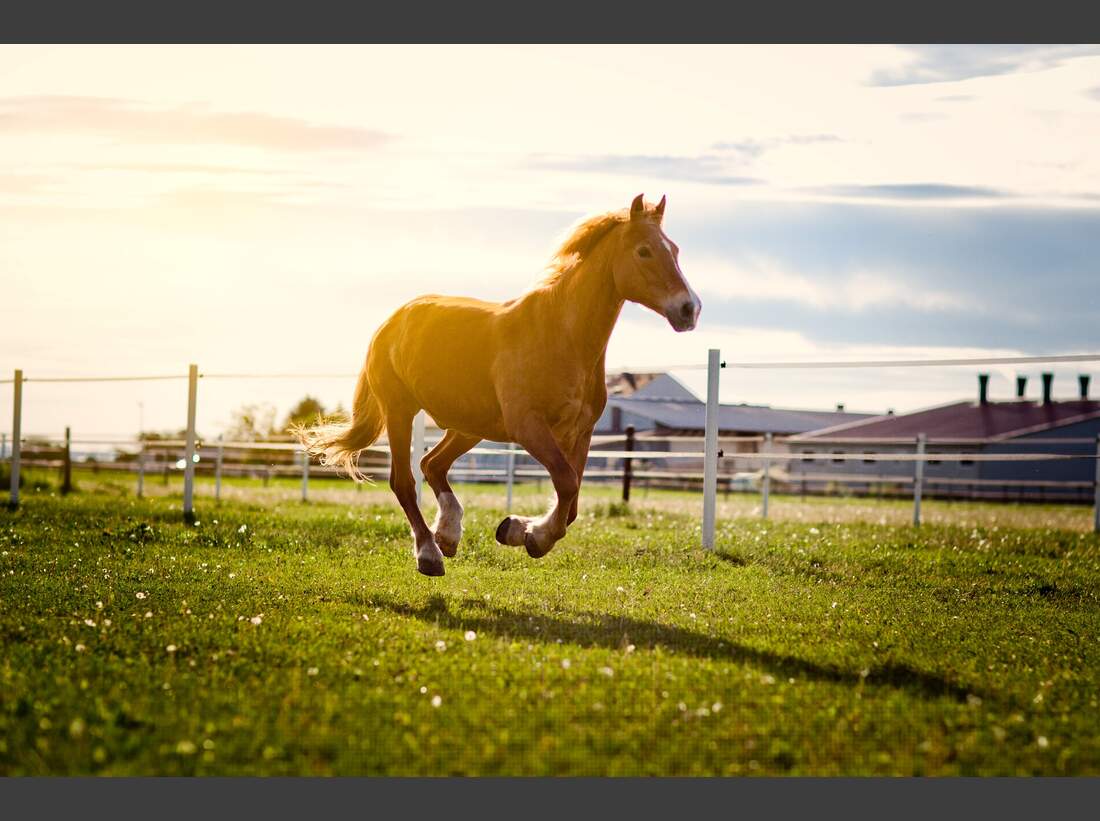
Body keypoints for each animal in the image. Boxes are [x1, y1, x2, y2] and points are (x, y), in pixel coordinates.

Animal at [295, 194, 701, 576]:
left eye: (676, 250)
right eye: (644, 250)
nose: (689, 309)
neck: (562, 337)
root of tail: (391, 321)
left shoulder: (580, 432)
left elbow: (571, 502)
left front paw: (517, 530)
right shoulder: (529, 426)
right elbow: (567, 485)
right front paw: (532, 536)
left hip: (470, 427)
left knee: (431, 464)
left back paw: (448, 535)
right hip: (401, 411)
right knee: (404, 481)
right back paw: (430, 553)